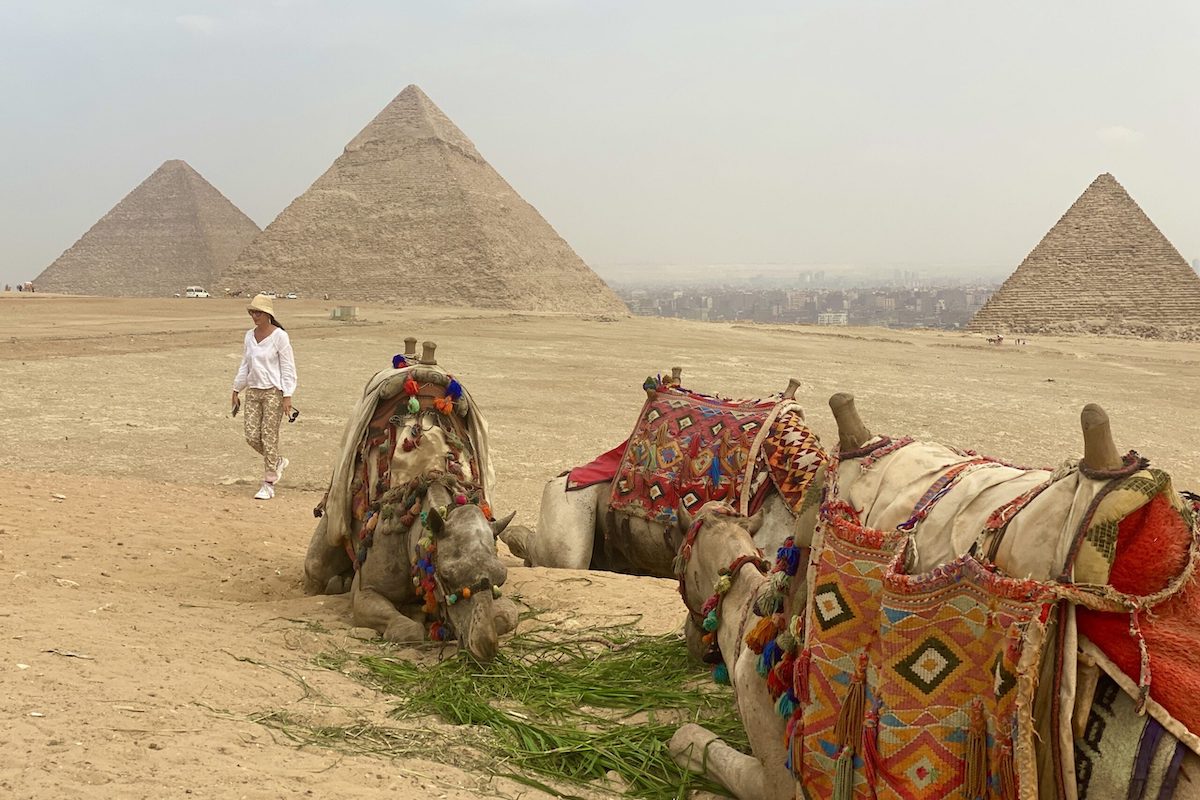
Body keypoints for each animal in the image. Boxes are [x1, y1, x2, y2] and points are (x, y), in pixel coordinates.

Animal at [302, 340, 518, 662]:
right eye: (446, 575)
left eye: (499, 577)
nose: (484, 647)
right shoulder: (366, 591)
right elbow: (408, 630)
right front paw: (415, 618)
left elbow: (509, 615)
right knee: (316, 568)